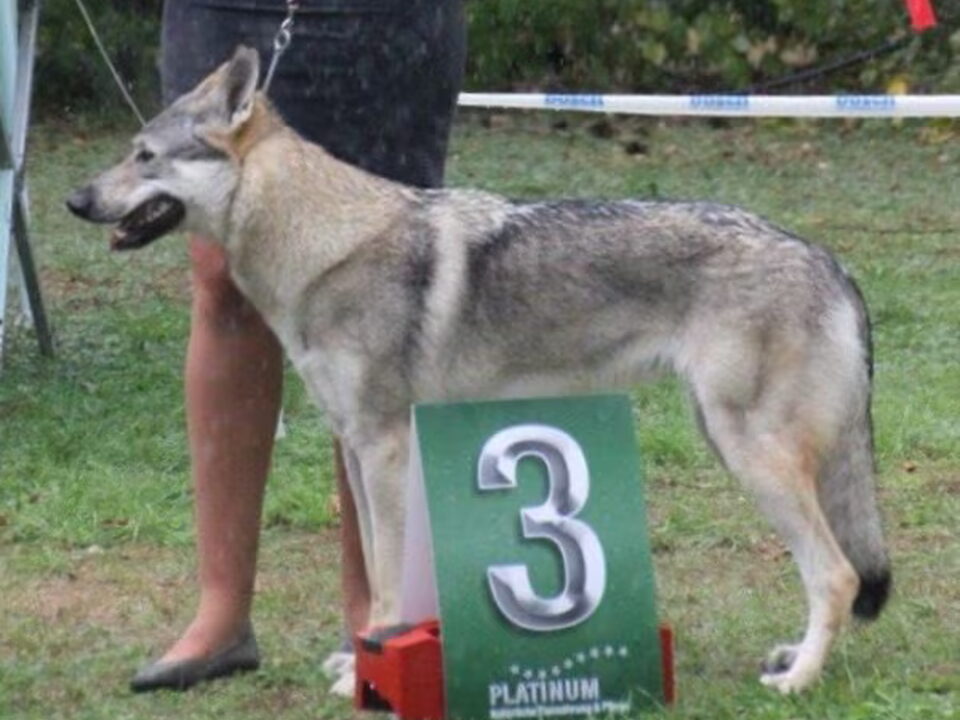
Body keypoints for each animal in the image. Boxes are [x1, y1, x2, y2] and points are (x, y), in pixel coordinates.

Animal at [67, 46, 890, 694]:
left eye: (144, 156)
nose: (75, 198)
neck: (321, 246)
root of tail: (832, 261)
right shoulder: (355, 447)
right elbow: (374, 572)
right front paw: (361, 659)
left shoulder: (383, 447)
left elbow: (386, 579)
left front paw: (367, 667)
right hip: (734, 444)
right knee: (831, 572)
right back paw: (796, 657)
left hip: (750, 452)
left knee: (838, 574)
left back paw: (798, 680)